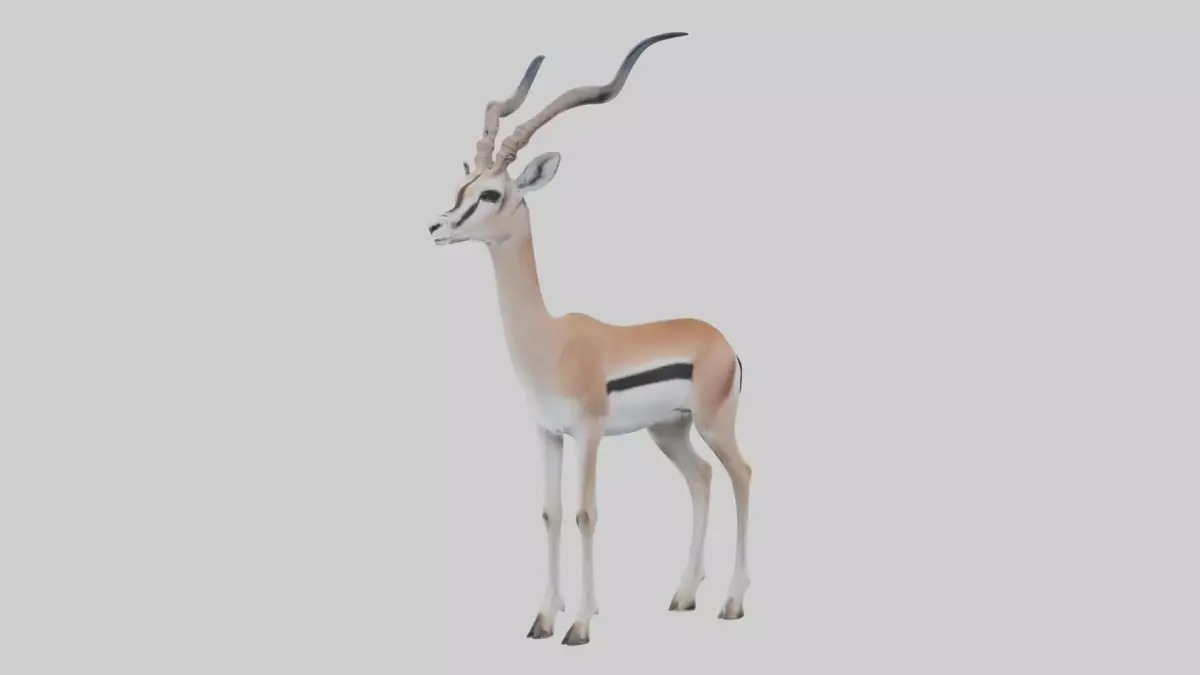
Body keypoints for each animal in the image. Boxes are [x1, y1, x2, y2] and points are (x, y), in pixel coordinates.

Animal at [426, 32, 752, 646]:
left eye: (491, 194)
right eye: (462, 185)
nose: (436, 226)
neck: (550, 342)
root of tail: (721, 340)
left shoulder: (589, 434)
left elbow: (585, 514)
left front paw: (578, 624)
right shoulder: (548, 434)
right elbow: (550, 513)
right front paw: (542, 618)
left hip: (714, 424)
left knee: (741, 475)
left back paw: (732, 603)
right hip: (669, 432)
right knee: (700, 480)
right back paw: (683, 595)